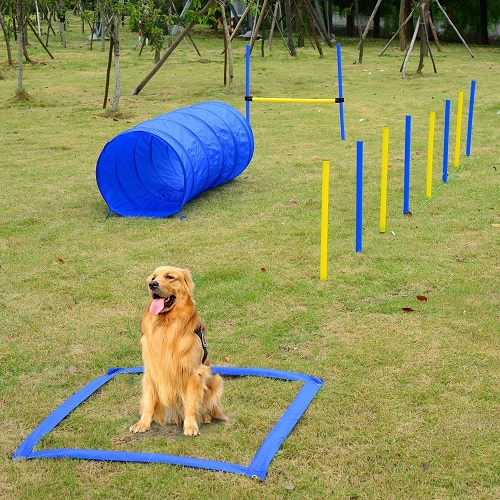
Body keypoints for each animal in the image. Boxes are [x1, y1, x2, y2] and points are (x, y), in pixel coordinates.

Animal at [129, 268, 227, 436]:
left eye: (170, 277)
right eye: (153, 277)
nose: (152, 284)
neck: (166, 326)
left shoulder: (193, 373)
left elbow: (191, 404)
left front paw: (191, 426)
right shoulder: (151, 371)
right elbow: (149, 401)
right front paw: (143, 423)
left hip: (216, 379)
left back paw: (206, 417)